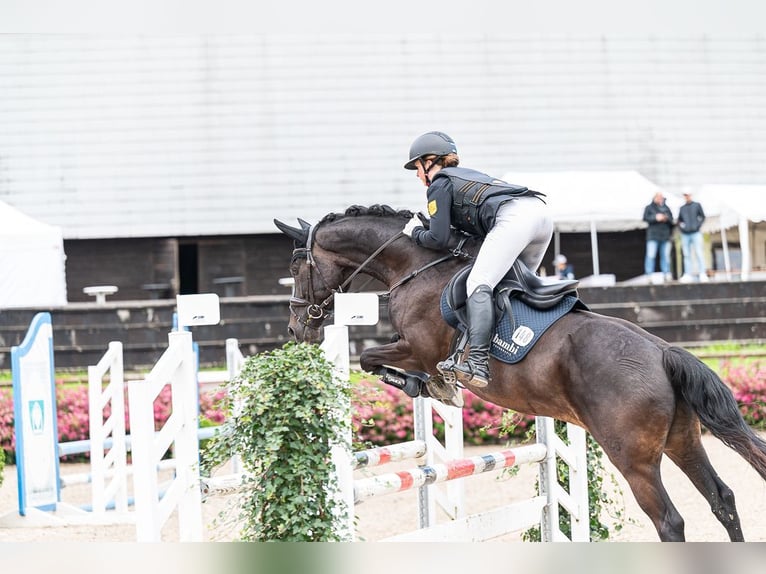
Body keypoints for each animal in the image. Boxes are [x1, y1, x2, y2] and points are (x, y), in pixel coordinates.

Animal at [274, 204, 766, 542]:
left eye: (296, 266)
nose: (297, 329)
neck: (415, 268)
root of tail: (662, 351)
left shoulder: (419, 349)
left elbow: (370, 358)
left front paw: (431, 386)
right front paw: (435, 389)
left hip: (633, 458)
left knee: (669, 521)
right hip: (684, 440)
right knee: (722, 500)